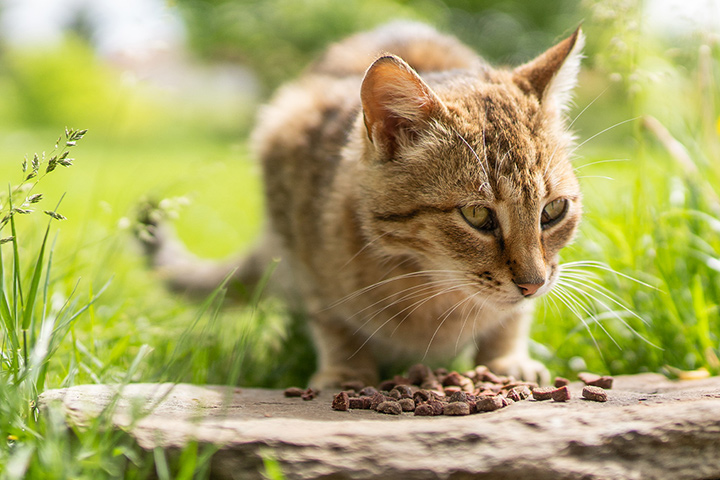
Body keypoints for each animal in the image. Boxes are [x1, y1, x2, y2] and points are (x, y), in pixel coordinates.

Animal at [141, 23, 584, 390]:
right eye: (477, 215)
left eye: (553, 211)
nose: (533, 284)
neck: (432, 287)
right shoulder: (304, 245)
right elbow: (331, 319)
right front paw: (346, 369)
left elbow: (511, 320)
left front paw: (506, 360)